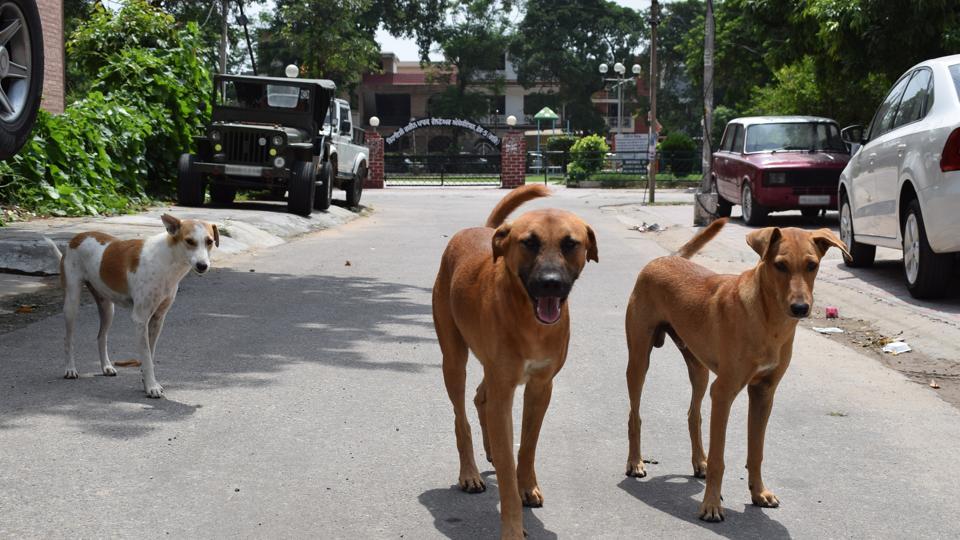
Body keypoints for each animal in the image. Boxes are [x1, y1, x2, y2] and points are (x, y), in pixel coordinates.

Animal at [46, 214, 218, 396]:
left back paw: (106, 366)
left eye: (209, 241)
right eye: (189, 241)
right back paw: (70, 369)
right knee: (68, 339)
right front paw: (151, 387)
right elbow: (146, 356)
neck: (166, 260)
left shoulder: (158, 319)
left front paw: (147, 382)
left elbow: (150, 354)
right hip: (72, 303)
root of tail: (76, 238)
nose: (202, 265)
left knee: (101, 337)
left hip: (108, 308)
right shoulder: (141, 319)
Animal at [434, 184, 596, 536]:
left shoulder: (540, 387)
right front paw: (511, 526)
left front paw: (527, 485)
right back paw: (469, 472)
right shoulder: (504, 391)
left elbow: (527, 445)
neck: (528, 321)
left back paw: (490, 451)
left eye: (570, 244)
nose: (551, 283)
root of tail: (482, 230)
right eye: (529, 243)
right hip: (453, 360)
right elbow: (508, 465)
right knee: (461, 417)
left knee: (480, 397)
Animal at [624, 219, 848, 524]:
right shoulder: (723, 392)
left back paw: (699, 462)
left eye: (812, 265)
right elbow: (720, 458)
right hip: (639, 360)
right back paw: (635, 462)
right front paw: (710, 505)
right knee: (634, 416)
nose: (801, 308)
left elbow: (756, 451)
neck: (768, 320)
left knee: (693, 415)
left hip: (699, 370)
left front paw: (759, 493)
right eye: (780, 265)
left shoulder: (763, 393)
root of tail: (668, 258)